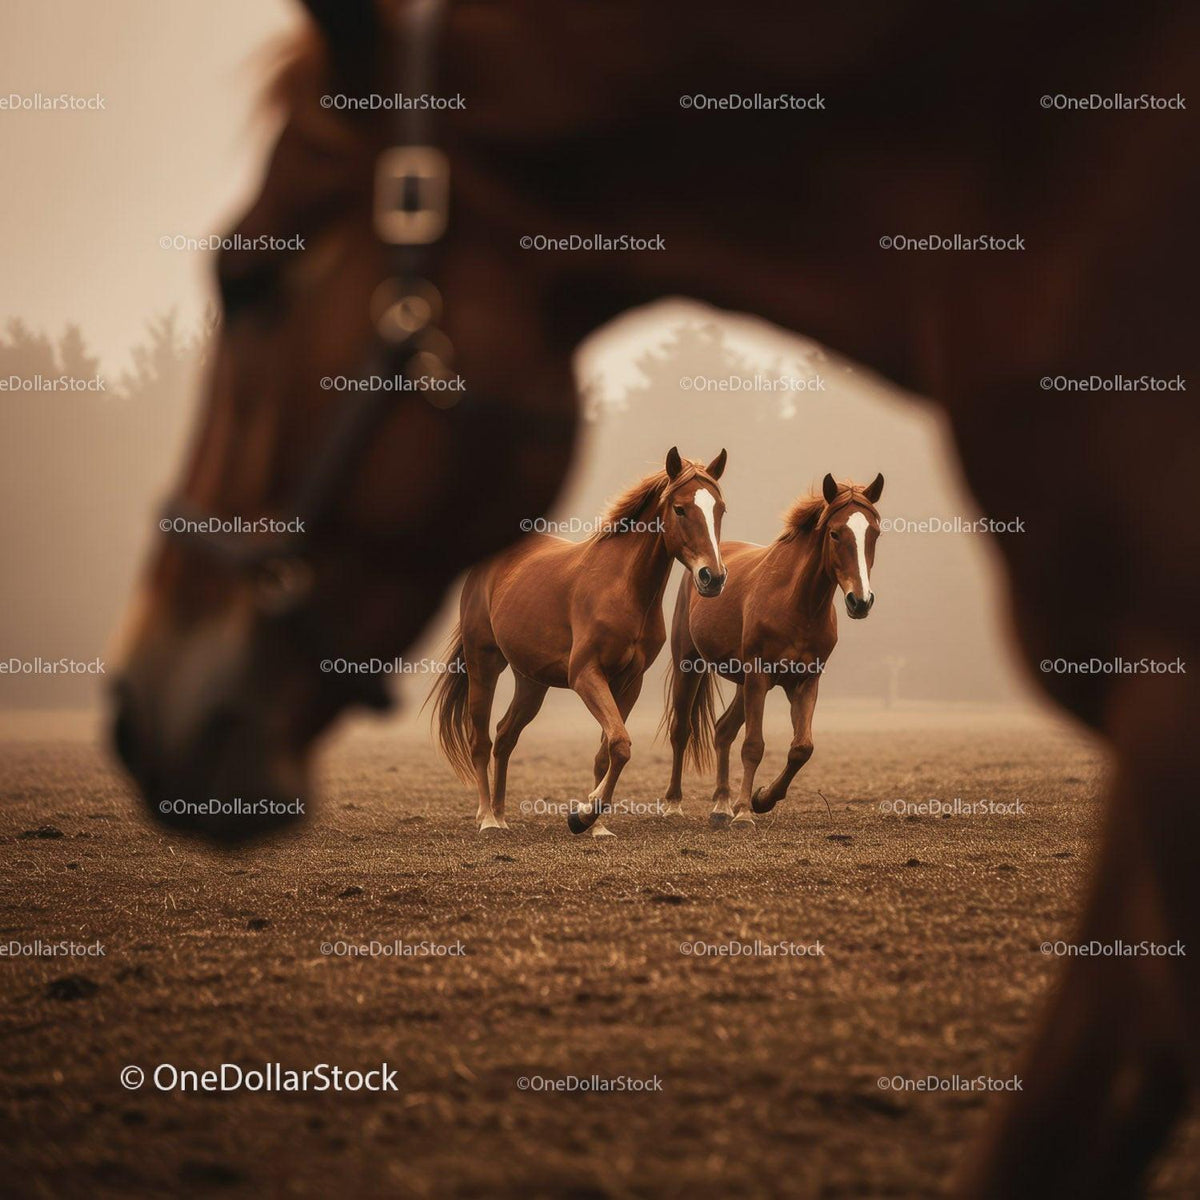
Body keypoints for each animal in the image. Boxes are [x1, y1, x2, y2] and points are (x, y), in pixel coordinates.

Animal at [428, 448, 727, 836]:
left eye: (720, 509)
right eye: (680, 508)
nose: (713, 578)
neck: (622, 588)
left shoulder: (628, 682)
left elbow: (608, 749)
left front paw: (595, 823)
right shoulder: (586, 675)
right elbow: (620, 743)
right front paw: (582, 815)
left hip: (531, 682)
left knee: (505, 737)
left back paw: (501, 813)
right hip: (484, 665)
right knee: (480, 740)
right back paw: (488, 818)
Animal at [662, 474, 883, 829]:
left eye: (874, 532)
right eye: (835, 533)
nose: (860, 601)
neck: (795, 603)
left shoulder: (804, 682)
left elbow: (801, 748)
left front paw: (762, 798)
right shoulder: (759, 677)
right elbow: (753, 746)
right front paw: (744, 812)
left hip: (743, 684)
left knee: (723, 731)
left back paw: (721, 805)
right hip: (692, 665)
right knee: (681, 730)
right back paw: (674, 804)